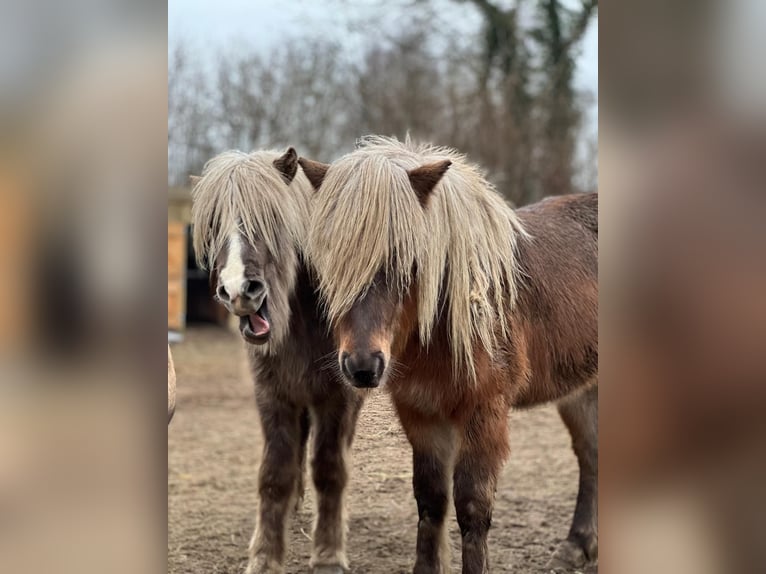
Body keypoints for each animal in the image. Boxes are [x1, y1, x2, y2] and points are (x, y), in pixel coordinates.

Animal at [189, 150, 364, 574]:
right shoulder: (274, 396)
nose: (238, 290)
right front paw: (265, 556)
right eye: (213, 225)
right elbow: (275, 473)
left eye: (271, 220)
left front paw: (328, 553)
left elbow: (330, 468)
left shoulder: (337, 400)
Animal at [300, 136, 600, 574]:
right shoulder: (420, 411)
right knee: (590, 453)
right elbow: (430, 500)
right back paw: (577, 545)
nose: (362, 366)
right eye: (329, 263)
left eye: (407, 259)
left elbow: (472, 507)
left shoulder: (484, 411)